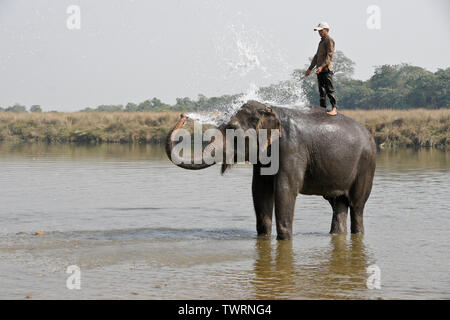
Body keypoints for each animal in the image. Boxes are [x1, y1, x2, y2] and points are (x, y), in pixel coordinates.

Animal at [165, 100, 376, 240]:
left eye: (232, 127)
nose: (183, 116)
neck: (269, 109)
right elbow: (259, 190)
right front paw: (263, 238)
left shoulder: (292, 148)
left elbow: (285, 189)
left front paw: (284, 240)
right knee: (338, 204)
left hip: (366, 165)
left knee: (357, 206)